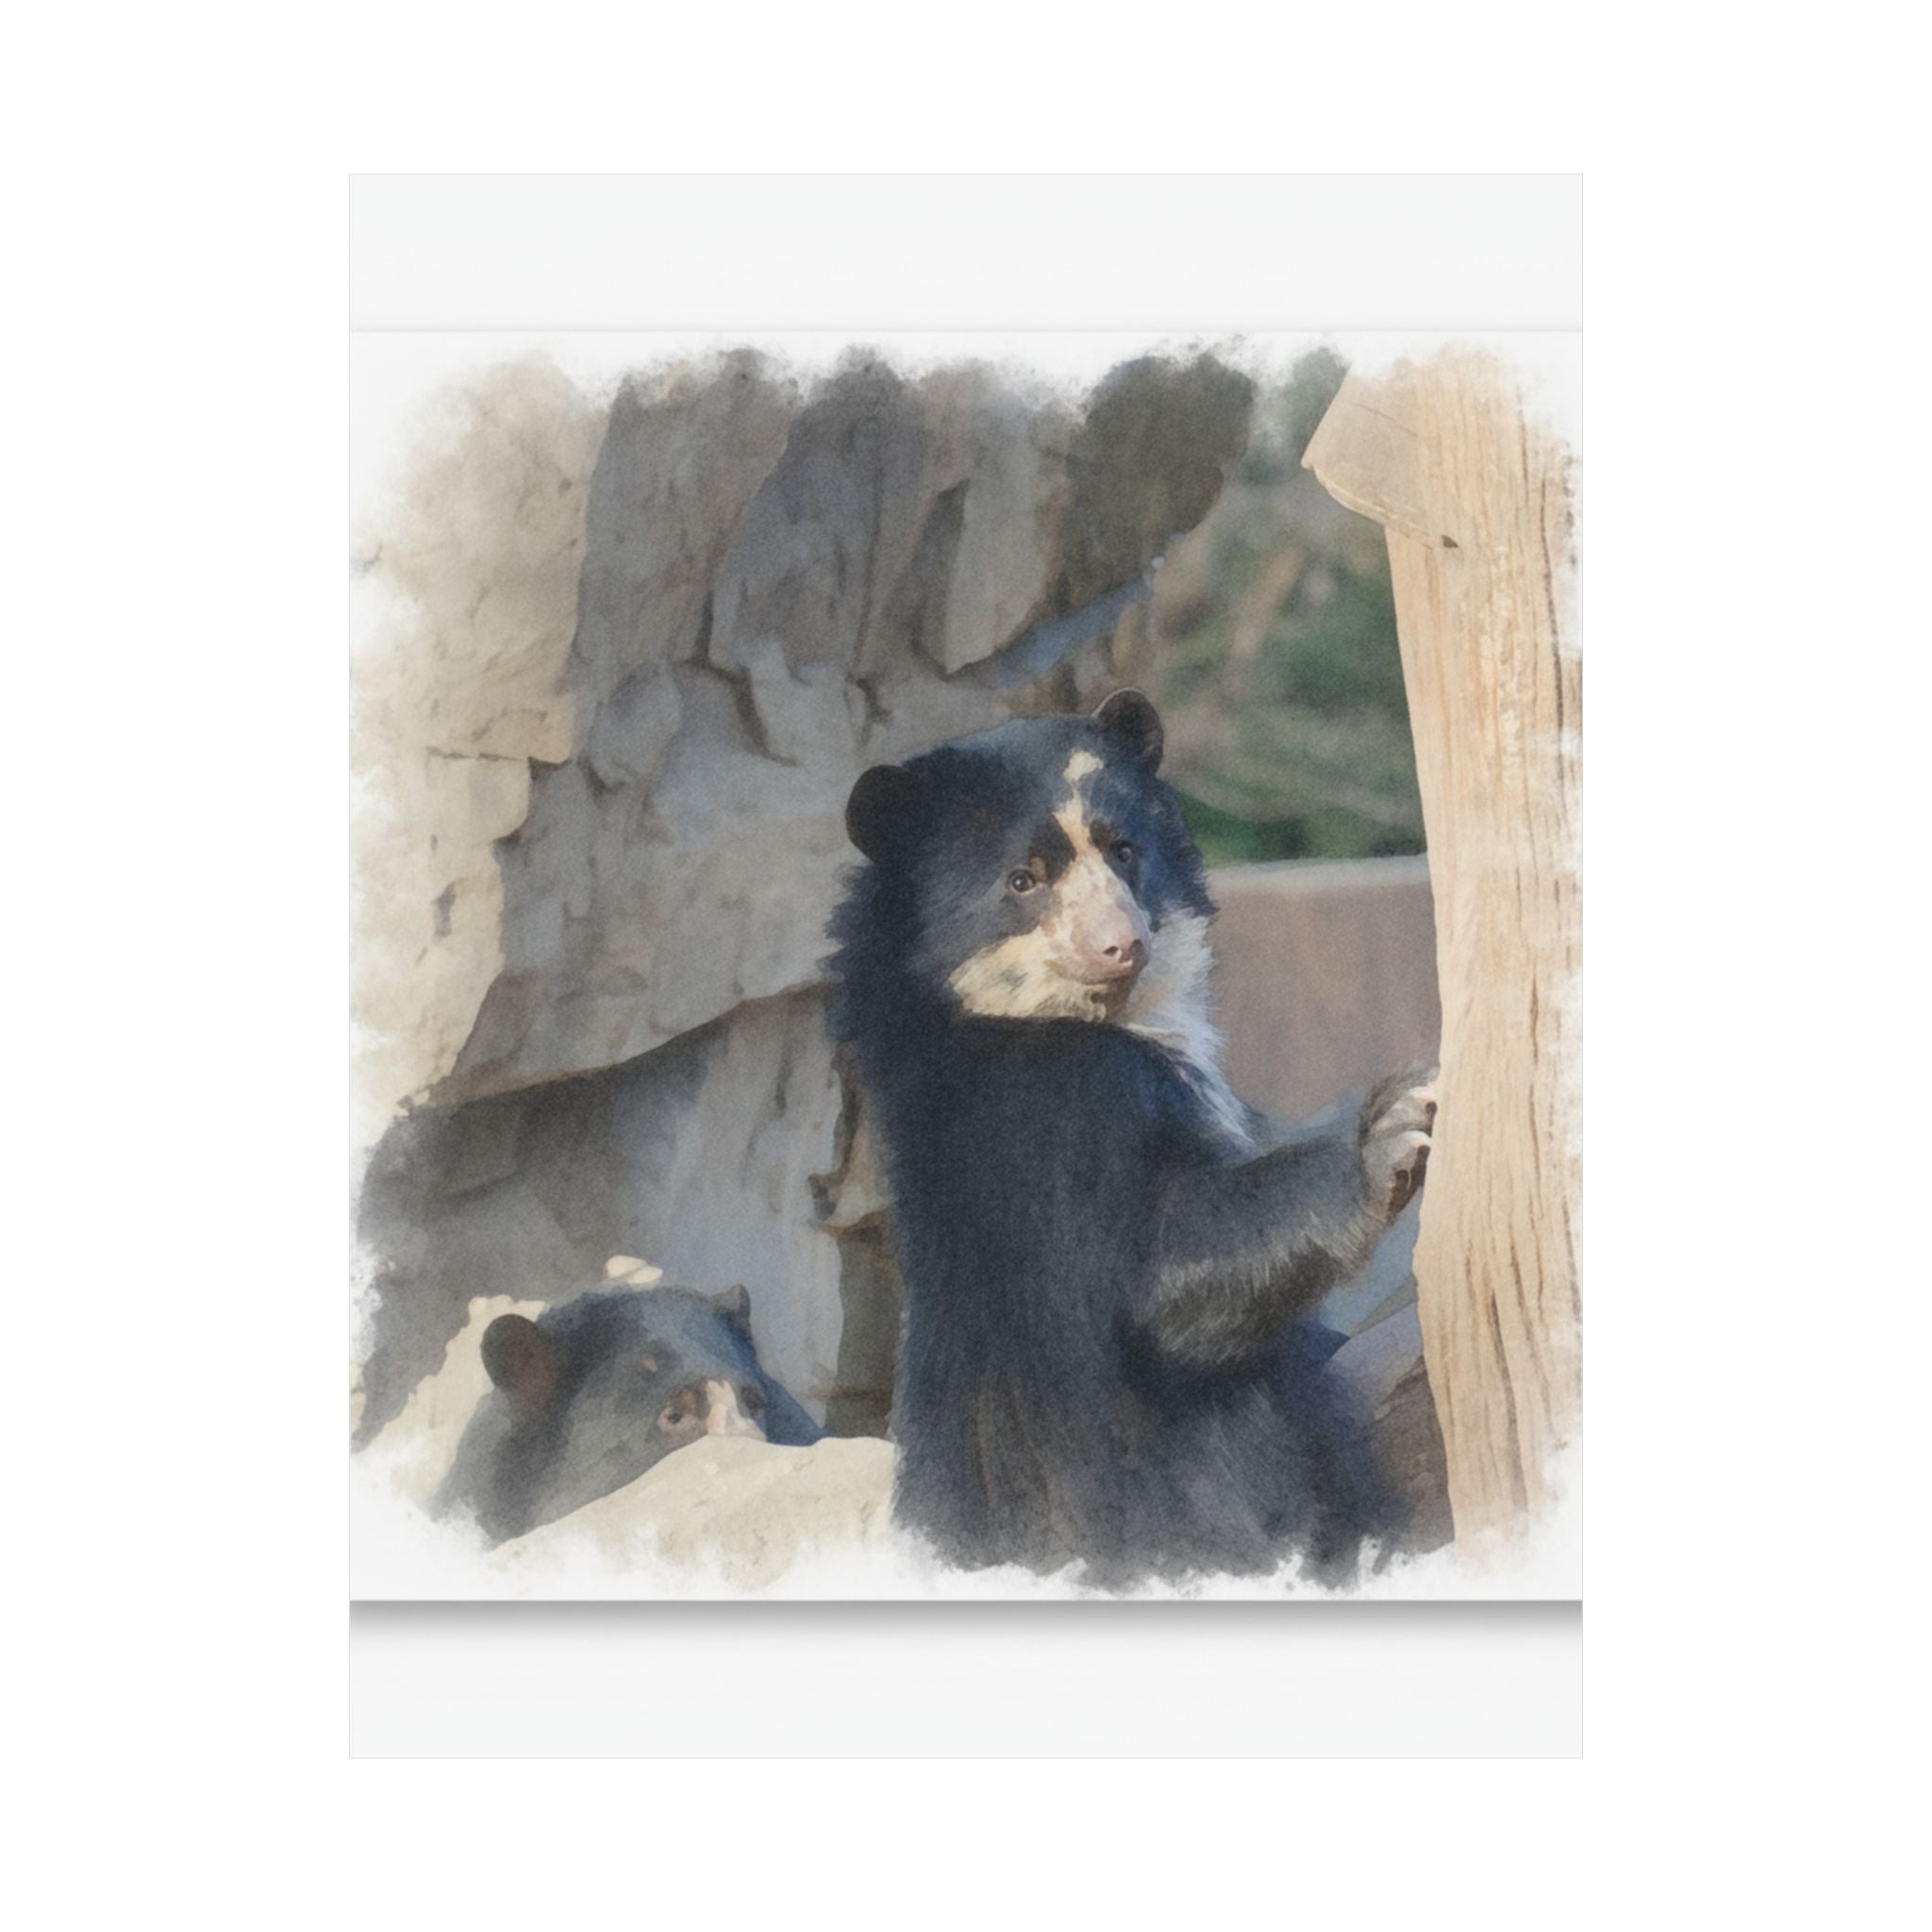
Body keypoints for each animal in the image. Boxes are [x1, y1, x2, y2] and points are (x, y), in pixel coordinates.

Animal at [826, 688, 1434, 1585]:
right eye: (1024, 879)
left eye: (1124, 850)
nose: (1121, 945)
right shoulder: (1065, 1116)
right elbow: (1169, 1268)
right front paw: (1396, 1126)